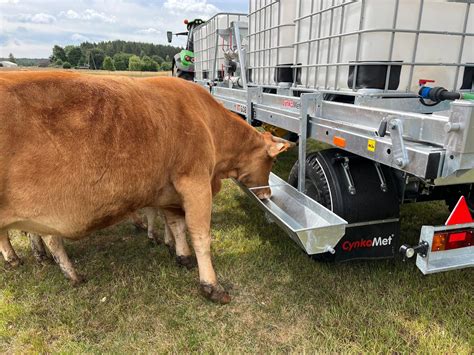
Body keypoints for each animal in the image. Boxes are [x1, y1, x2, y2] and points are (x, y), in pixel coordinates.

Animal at [0, 71, 292, 304]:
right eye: (271, 161)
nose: (267, 193)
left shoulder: (170, 191)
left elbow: (176, 225)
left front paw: (181, 256)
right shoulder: (195, 181)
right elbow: (200, 235)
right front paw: (211, 285)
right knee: (48, 238)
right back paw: (55, 269)